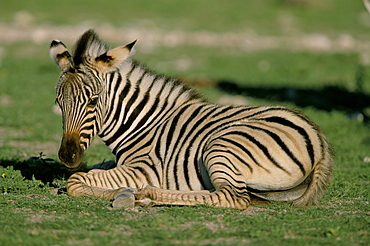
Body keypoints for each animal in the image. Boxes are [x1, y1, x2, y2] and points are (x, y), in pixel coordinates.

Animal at [48, 29, 332, 209]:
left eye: (93, 102)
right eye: (59, 103)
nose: (67, 157)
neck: (141, 124)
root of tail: (319, 143)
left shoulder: (144, 168)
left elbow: (77, 181)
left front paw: (120, 191)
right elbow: (91, 172)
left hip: (222, 147)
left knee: (233, 197)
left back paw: (146, 195)